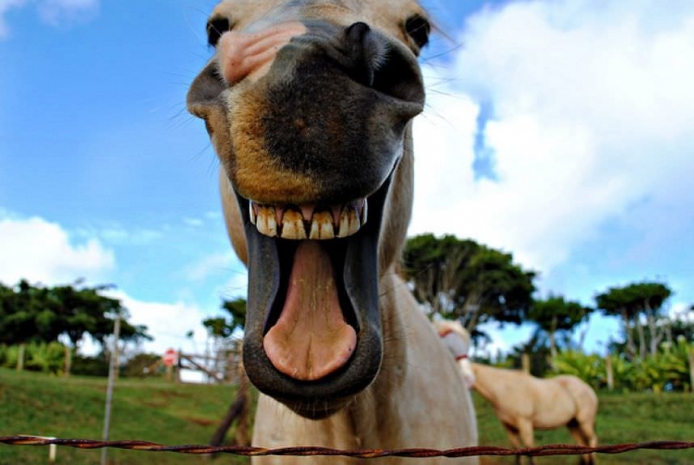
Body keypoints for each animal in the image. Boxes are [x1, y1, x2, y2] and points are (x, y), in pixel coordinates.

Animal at [435, 320, 598, 465]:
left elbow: (530, 453)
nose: (468, 378)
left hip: (584, 421)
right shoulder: (510, 428)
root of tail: (586, 387)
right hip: (573, 424)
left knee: (592, 441)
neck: (503, 389)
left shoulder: (524, 423)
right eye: (446, 334)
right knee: (583, 446)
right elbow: (517, 453)